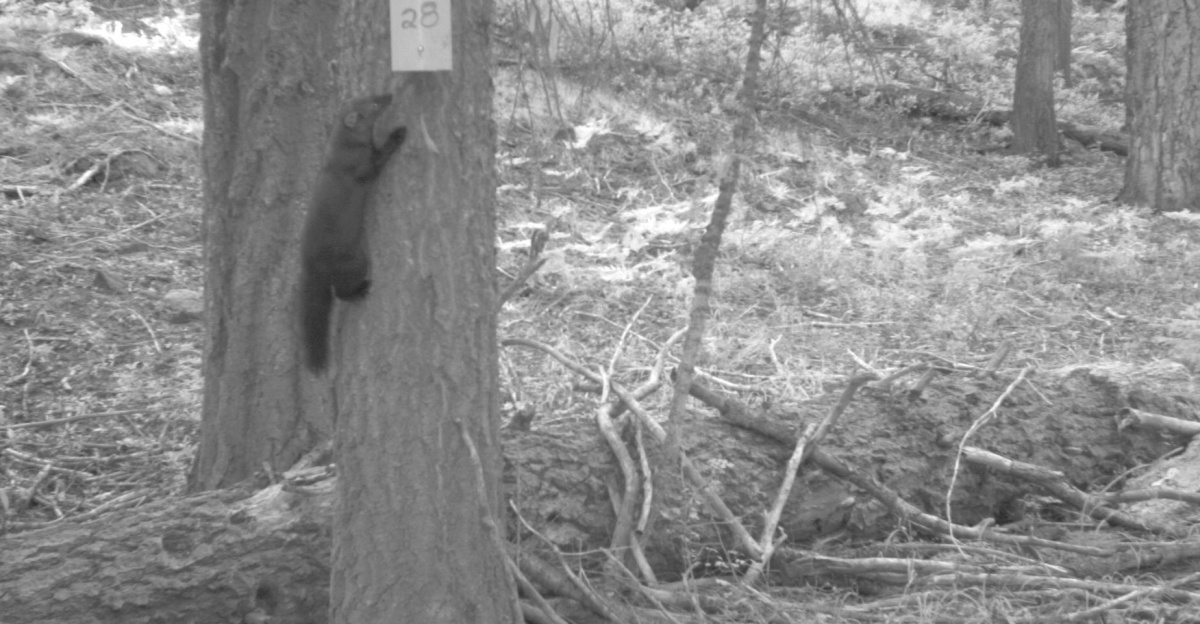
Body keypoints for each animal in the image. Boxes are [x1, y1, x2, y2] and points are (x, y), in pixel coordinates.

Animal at [299, 94, 407, 372]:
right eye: (374, 104)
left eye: (370, 96)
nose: (389, 95)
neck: (339, 152)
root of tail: (309, 266)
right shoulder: (361, 165)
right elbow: (378, 160)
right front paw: (398, 133)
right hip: (354, 260)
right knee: (341, 292)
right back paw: (362, 289)